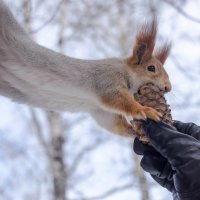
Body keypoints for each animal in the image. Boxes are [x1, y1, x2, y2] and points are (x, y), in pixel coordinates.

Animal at [0, 1, 171, 139]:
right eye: (151, 68)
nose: (168, 88)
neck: (125, 72)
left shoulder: (100, 111)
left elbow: (112, 123)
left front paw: (133, 132)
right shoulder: (108, 82)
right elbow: (121, 101)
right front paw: (145, 110)